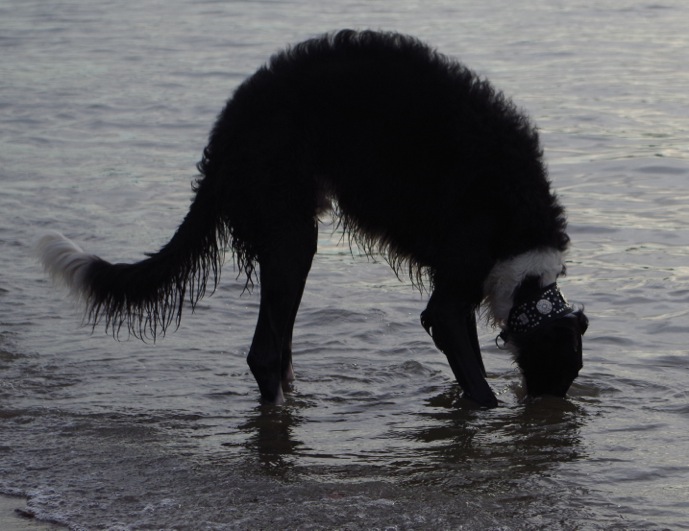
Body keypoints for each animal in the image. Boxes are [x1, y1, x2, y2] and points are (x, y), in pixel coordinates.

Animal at [37, 30, 584, 408]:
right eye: (562, 367)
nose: (550, 412)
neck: (523, 251)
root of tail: (228, 128)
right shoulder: (454, 290)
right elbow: (474, 375)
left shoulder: (459, 283)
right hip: (290, 232)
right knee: (264, 353)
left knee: (278, 351)